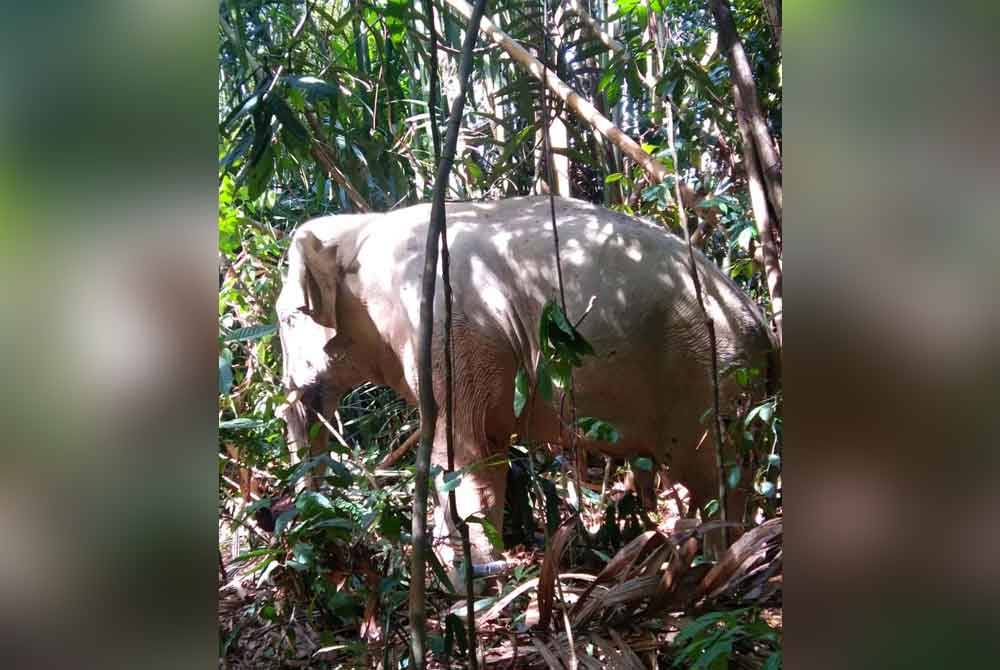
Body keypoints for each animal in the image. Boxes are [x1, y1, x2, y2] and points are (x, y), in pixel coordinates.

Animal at [278, 194, 776, 576]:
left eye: (287, 320)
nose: (285, 526)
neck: (363, 229)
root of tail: (763, 328)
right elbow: (488, 449)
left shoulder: (447, 330)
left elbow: (465, 449)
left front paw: (468, 578)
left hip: (713, 379)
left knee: (714, 477)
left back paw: (713, 566)